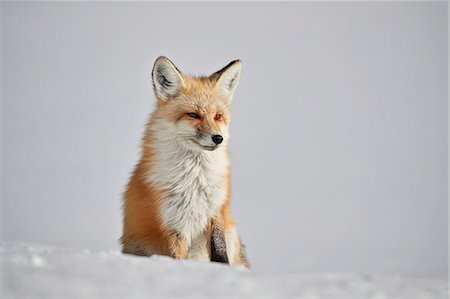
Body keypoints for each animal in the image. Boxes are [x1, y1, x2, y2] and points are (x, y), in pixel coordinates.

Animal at [121, 56, 248, 268]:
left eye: (218, 116)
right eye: (193, 115)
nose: (218, 138)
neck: (196, 178)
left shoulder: (217, 210)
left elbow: (219, 251)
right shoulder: (172, 224)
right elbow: (176, 257)